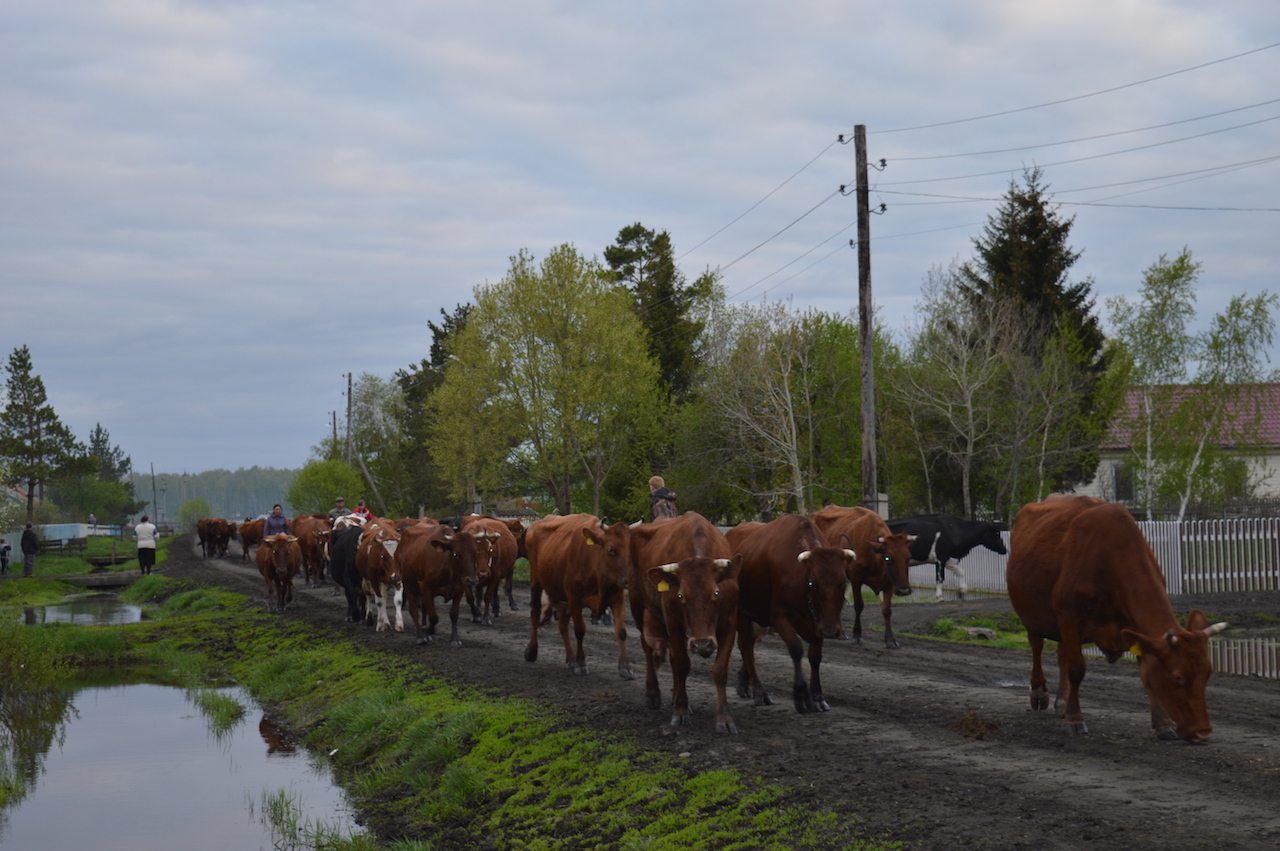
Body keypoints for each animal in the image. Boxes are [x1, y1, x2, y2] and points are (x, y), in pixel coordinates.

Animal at [524, 514, 632, 678]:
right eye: (610, 549)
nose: (628, 580)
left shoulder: (618, 598)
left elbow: (621, 631)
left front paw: (625, 666)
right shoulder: (574, 598)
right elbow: (579, 630)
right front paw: (581, 664)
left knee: (562, 623)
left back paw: (570, 657)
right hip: (536, 582)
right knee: (535, 614)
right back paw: (531, 651)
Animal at [628, 512, 742, 733]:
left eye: (716, 593)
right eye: (680, 596)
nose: (702, 644)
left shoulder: (730, 623)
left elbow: (720, 670)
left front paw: (724, 717)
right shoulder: (673, 622)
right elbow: (682, 664)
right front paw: (680, 712)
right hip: (638, 606)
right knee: (647, 648)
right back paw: (653, 695)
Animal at [727, 514, 856, 714]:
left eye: (843, 582)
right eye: (812, 583)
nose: (830, 631)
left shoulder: (817, 623)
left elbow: (815, 657)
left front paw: (817, 696)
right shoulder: (779, 617)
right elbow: (796, 648)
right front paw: (801, 695)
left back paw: (743, 683)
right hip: (742, 612)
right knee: (746, 647)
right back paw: (759, 692)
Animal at [811, 505, 915, 648]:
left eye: (908, 557)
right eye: (888, 558)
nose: (904, 590)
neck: (874, 556)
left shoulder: (889, 583)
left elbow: (886, 610)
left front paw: (890, 640)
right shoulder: (856, 578)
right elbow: (858, 605)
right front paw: (857, 635)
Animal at [1006, 494, 1227, 742]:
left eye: (1208, 673)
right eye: (1176, 677)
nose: (1202, 732)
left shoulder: (1134, 627)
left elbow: (1146, 674)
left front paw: (1162, 723)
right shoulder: (1069, 616)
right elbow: (1076, 668)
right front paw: (1074, 719)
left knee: (1062, 653)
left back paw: (1061, 701)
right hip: (1033, 614)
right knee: (1037, 646)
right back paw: (1039, 692)